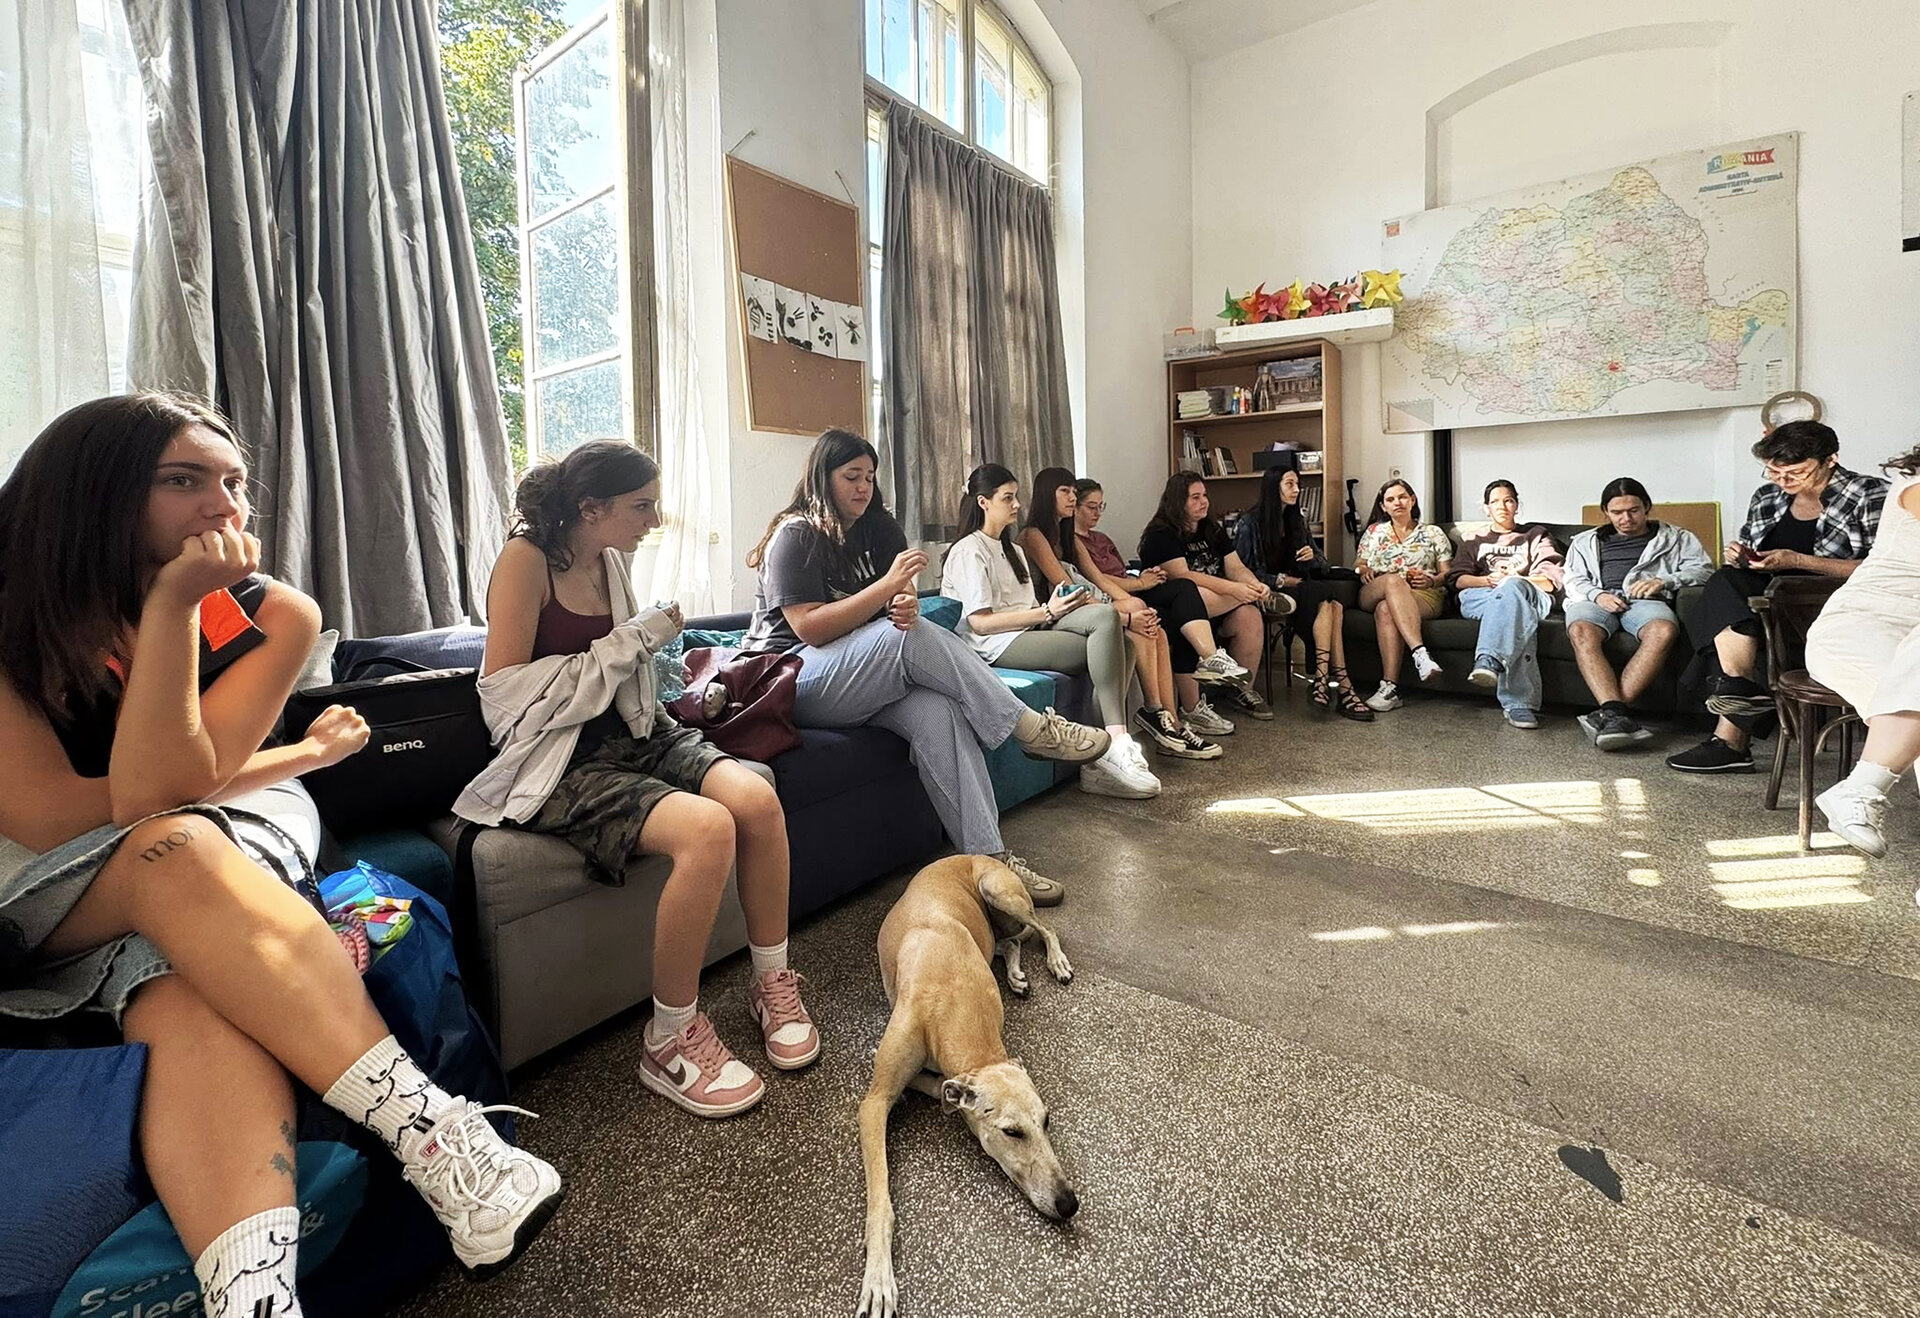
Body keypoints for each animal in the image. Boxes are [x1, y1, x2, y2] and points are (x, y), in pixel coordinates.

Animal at [856, 855, 1078, 1318]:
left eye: (1047, 1122)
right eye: (1012, 1132)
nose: (1069, 1203)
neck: (951, 990)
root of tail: (981, 855)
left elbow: (940, 1085)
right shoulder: (873, 1102)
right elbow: (880, 1199)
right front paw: (879, 1277)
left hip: (1002, 892)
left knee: (1043, 929)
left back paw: (1052, 963)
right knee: (1010, 943)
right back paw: (1017, 972)